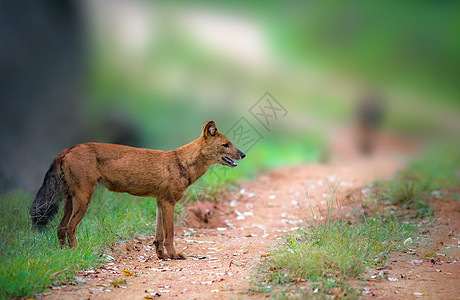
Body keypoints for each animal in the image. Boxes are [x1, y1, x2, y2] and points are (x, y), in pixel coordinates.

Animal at [28, 120, 244, 258]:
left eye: (232, 144)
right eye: (226, 145)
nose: (243, 154)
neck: (182, 163)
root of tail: (66, 149)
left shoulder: (160, 201)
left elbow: (158, 236)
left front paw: (162, 256)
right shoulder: (169, 202)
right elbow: (170, 234)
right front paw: (175, 255)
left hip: (69, 199)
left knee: (60, 227)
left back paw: (64, 254)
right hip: (83, 197)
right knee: (70, 227)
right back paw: (75, 252)